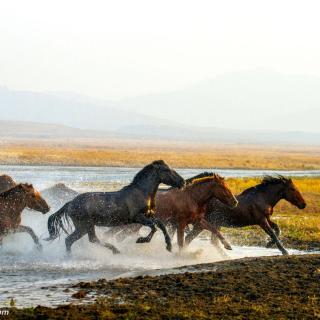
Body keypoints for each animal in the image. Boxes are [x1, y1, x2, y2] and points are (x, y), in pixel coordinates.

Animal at [45, 161, 185, 254]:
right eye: (167, 170)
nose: (182, 182)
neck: (142, 193)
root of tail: (70, 203)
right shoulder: (138, 218)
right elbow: (154, 227)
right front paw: (141, 240)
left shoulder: (149, 215)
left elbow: (160, 224)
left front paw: (169, 246)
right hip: (85, 225)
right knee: (81, 240)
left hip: (85, 226)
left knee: (79, 240)